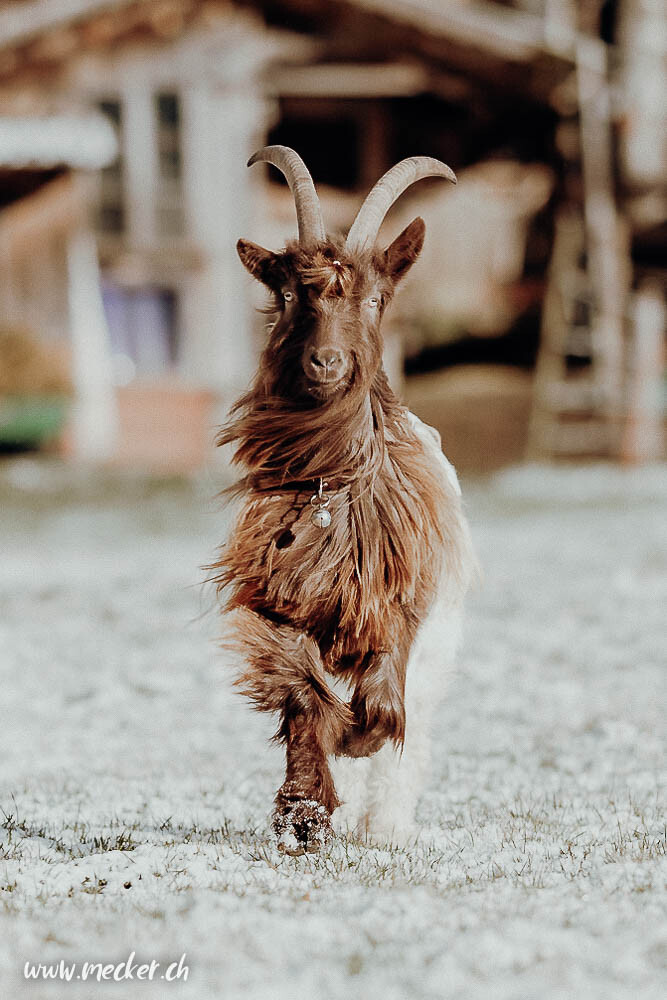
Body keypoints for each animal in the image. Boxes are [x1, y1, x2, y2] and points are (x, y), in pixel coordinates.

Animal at [211, 146, 478, 852]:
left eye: (377, 298)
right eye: (286, 294)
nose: (326, 362)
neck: (333, 485)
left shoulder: (398, 600)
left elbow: (382, 710)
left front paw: (357, 747)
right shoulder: (282, 596)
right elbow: (302, 692)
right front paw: (303, 810)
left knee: (413, 732)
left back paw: (385, 824)